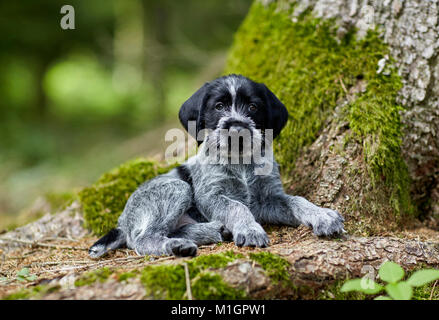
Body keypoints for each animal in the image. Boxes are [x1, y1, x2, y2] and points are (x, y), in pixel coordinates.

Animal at [88, 73, 344, 258]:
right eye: (219, 106)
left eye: (253, 107)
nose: (237, 128)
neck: (240, 162)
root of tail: (123, 222)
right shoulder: (212, 196)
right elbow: (236, 207)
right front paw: (250, 230)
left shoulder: (267, 199)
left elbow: (297, 200)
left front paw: (322, 215)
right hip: (175, 188)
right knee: (143, 239)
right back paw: (177, 245)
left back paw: (214, 231)